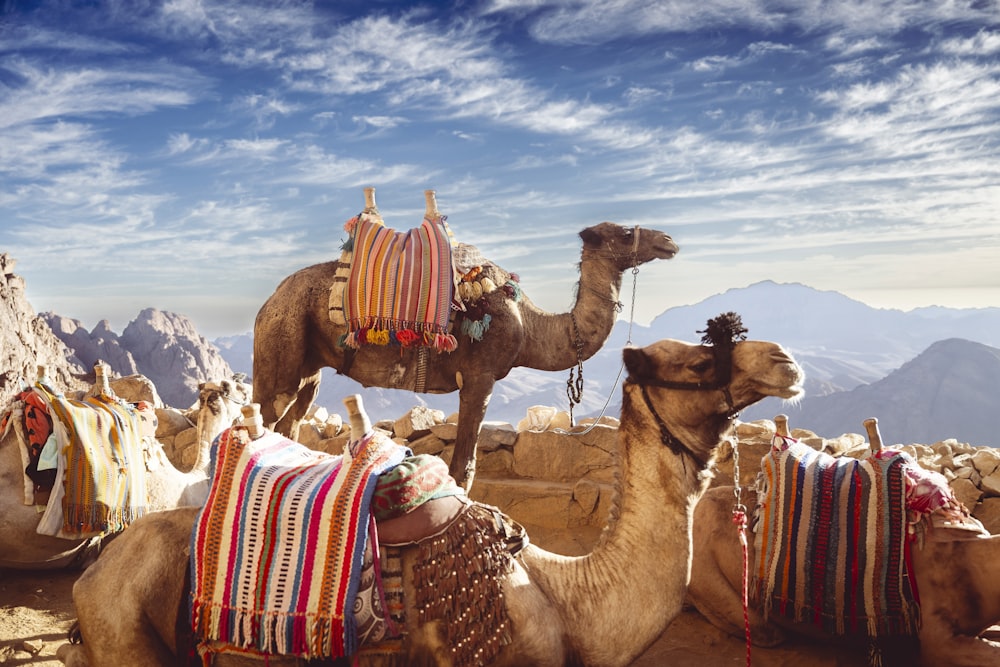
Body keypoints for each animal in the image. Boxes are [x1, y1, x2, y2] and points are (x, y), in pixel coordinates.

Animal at [252, 188, 680, 490]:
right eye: (625, 233)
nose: (669, 240)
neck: (529, 324)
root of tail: (267, 303)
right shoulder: (480, 377)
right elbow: (464, 468)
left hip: (309, 367)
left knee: (291, 424)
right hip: (280, 346)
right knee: (262, 420)